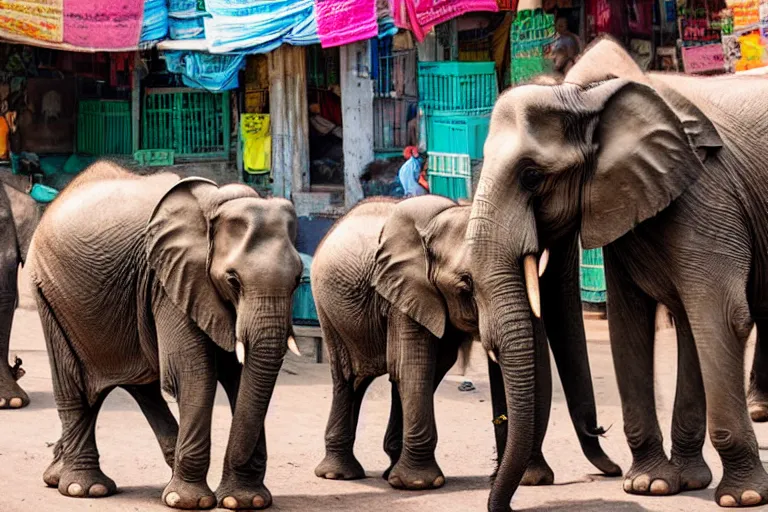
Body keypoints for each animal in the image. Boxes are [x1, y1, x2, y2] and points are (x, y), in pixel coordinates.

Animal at [27, 162, 304, 510]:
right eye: (233, 280)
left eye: (298, 280)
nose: (225, 496)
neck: (214, 205)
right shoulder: (170, 279)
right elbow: (194, 373)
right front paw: (189, 501)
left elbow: (238, 375)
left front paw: (244, 500)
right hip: (46, 290)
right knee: (74, 384)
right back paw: (85, 488)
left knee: (130, 382)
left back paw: (56, 476)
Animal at [310, 195, 616, 492]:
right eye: (466, 285)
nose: (601, 430)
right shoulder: (403, 291)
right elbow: (414, 367)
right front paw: (420, 484)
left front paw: (529, 480)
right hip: (327, 310)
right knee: (349, 378)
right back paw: (339, 474)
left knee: (394, 379)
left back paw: (388, 472)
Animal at [464, 37, 768, 512]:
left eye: (532, 176)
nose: (599, 434)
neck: (588, 94)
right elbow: (630, 325)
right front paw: (651, 485)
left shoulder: (708, 195)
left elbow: (721, 316)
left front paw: (744, 497)